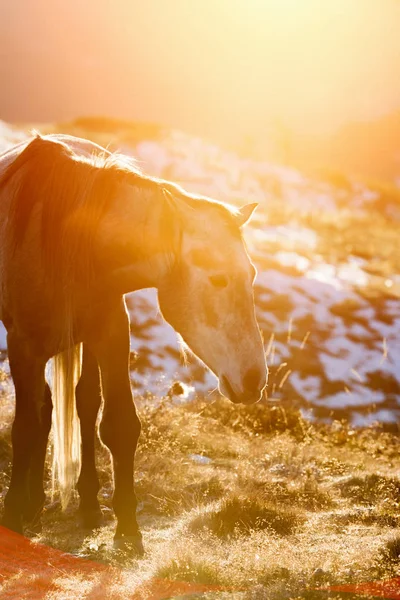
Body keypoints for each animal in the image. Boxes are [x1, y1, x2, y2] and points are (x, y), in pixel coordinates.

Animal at [0, 132, 268, 552]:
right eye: (217, 278)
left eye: (252, 274)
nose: (254, 379)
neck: (70, 235)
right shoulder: (23, 345)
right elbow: (25, 429)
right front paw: (12, 515)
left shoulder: (111, 334)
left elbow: (119, 425)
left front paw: (127, 527)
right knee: (43, 410)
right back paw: (33, 504)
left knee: (82, 403)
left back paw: (85, 504)